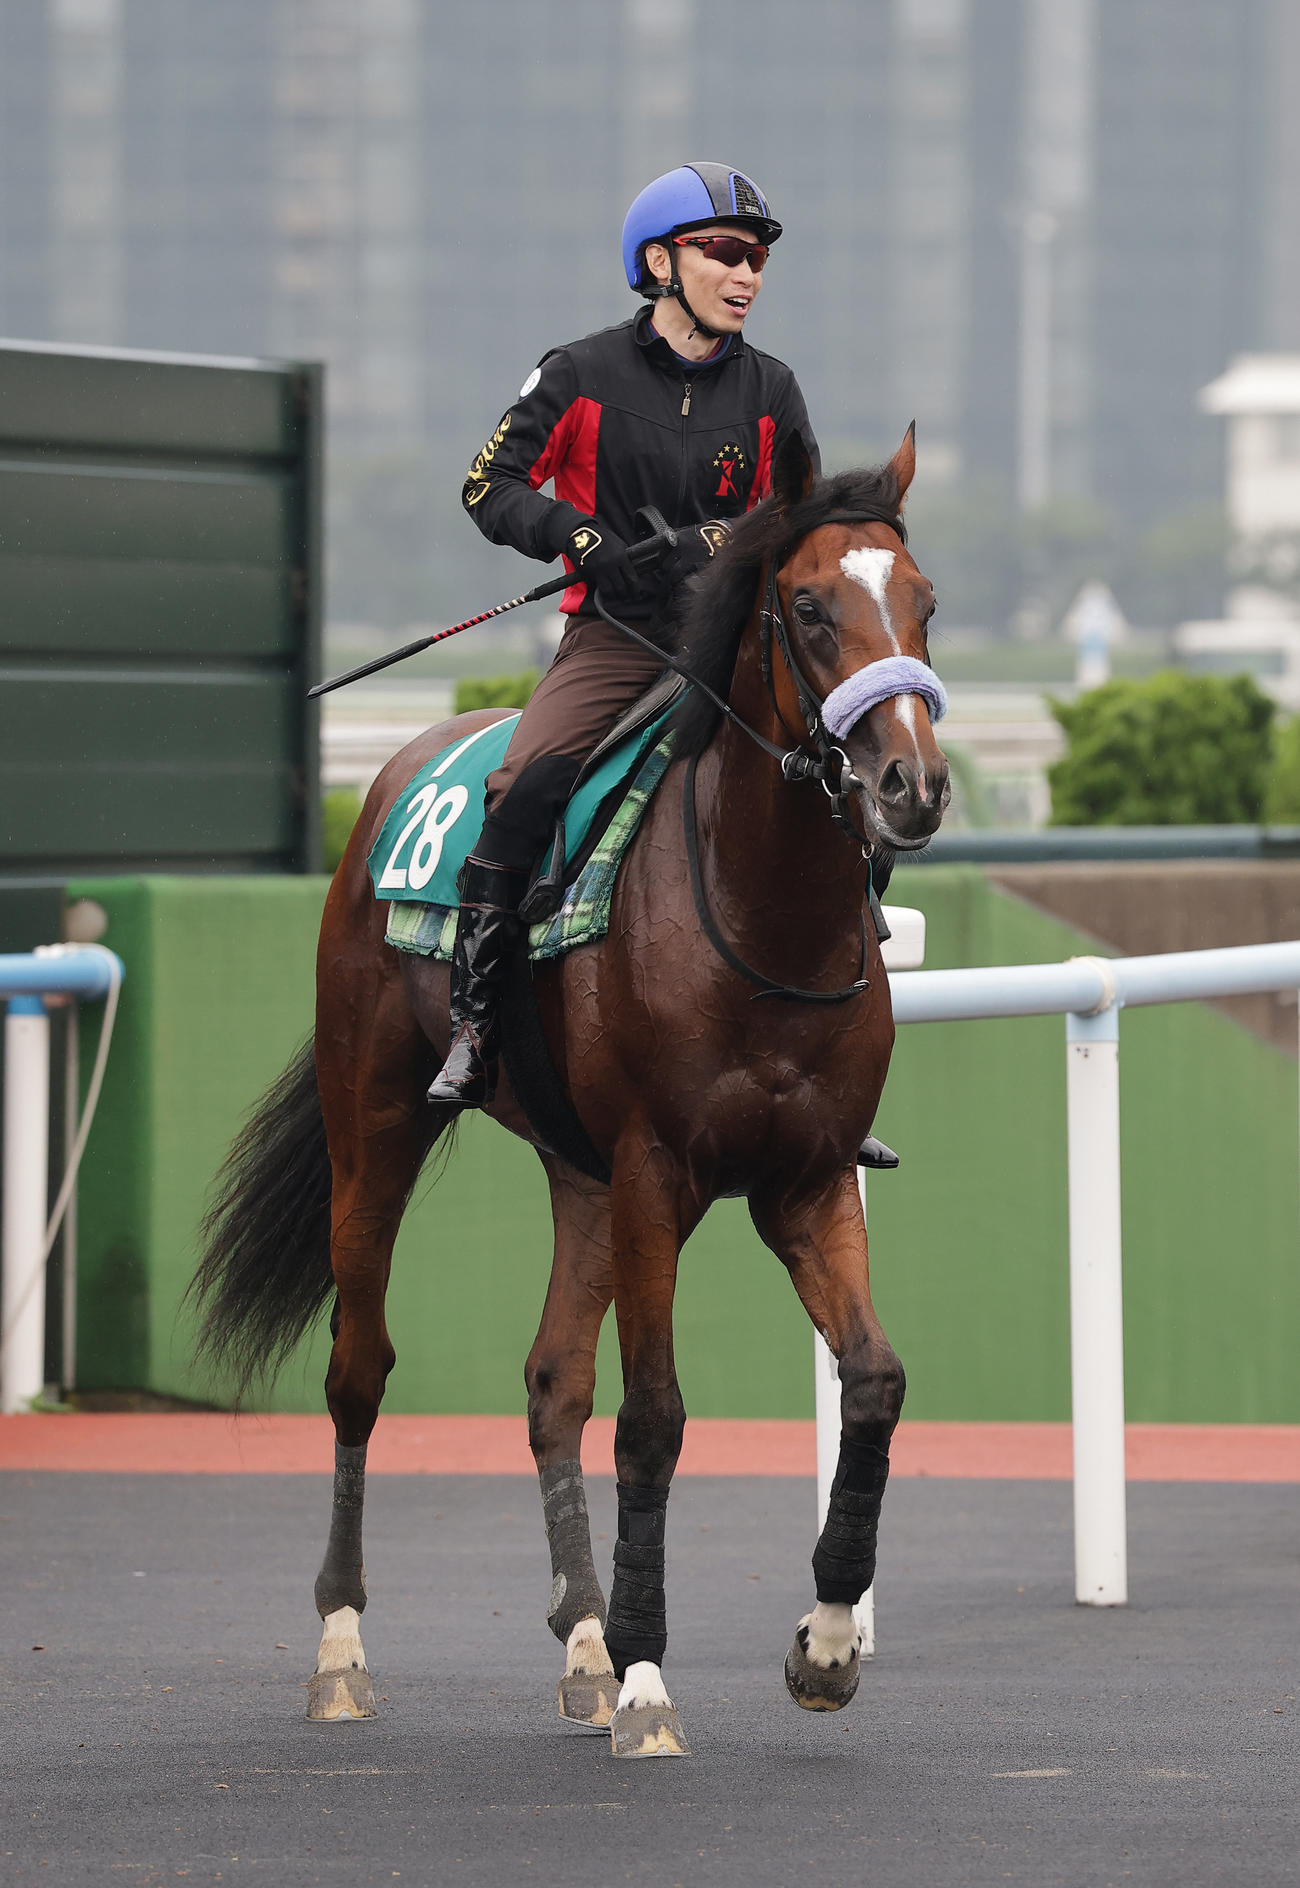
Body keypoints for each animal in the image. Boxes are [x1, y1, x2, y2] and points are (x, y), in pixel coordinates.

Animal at [191, 427, 949, 1757]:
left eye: (924, 602)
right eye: (809, 608)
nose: (912, 783)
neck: (759, 912)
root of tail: (394, 772)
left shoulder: (804, 1180)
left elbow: (872, 1381)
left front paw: (824, 1644)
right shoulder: (659, 1171)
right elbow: (654, 1415)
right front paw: (650, 1682)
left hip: (579, 1172)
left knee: (554, 1383)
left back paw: (585, 1645)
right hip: (374, 1129)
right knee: (358, 1368)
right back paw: (343, 1649)